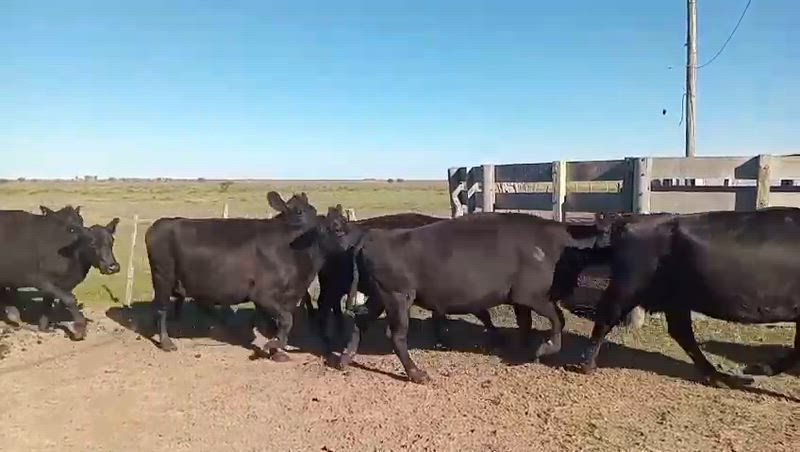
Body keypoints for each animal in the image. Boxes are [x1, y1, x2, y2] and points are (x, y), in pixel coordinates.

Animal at [0, 210, 120, 339]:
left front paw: (44, 328)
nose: (113, 266)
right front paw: (79, 328)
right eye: (92, 243)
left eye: (112, 241)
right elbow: (70, 299)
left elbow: (48, 304)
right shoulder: (41, 280)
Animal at [145, 192, 350, 360]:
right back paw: (166, 342)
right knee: (161, 309)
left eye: (312, 209)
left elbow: (278, 323)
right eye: (298, 212)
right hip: (162, 277)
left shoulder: (289, 296)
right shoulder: (262, 294)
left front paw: (276, 351)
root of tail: (159, 224)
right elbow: (286, 320)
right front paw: (273, 345)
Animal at [331, 212, 609, 383]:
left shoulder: (521, 301)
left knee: (360, 321)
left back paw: (344, 359)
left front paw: (520, 350)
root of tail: (371, 237)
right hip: (398, 298)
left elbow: (525, 323)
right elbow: (558, 320)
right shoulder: (535, 296)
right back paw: (417, 374)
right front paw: (545, 348)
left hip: (379, 298)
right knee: (397, 336)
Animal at [579, 208, 800, 388]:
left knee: (681, 332)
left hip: (675, 299)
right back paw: (587, 364)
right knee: (606, 315)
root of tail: (631, 219)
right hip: (629, 286)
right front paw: (755, 368)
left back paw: (718, 377)